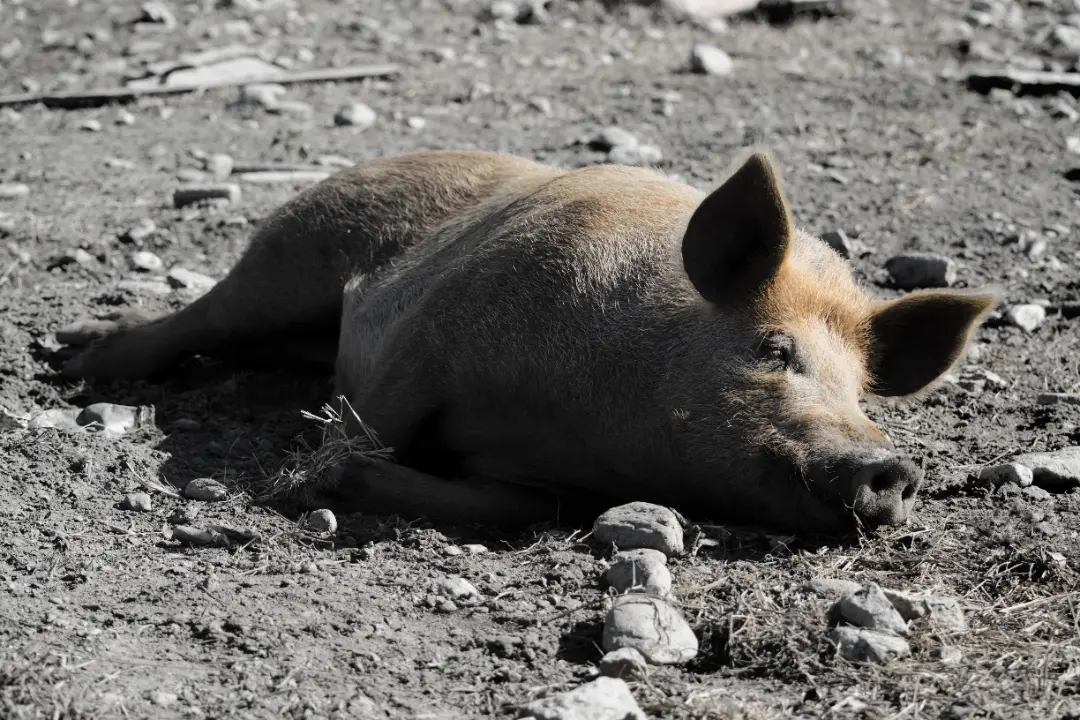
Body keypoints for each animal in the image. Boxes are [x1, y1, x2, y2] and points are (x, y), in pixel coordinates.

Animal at [52, 151, 993, 535]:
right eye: (774, 349)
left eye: (861, 392)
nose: (890, 465)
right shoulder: (434, 330)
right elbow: (369, 420)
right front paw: (300, 487)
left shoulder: (541, 484)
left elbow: (503, 506)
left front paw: (347, 484)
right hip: (290, 253)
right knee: (203, 317)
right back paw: (73, 359)